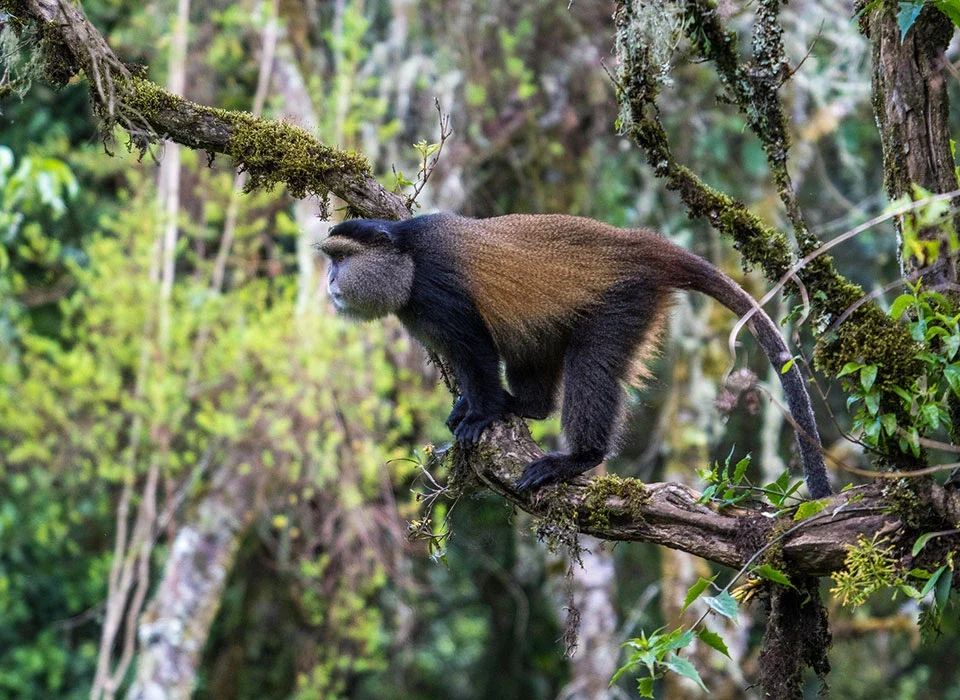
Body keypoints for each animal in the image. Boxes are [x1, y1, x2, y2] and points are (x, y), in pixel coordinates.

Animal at [318, 213, 832, 499]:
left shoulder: (437, 290)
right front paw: (476, 407)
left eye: (341, 258)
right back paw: (526, 406)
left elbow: (475, 350)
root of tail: (643, 243)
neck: (406, 255)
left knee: (593, 367)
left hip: (624, 302)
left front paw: (481, 414)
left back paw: (580, 457)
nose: (329, 281)